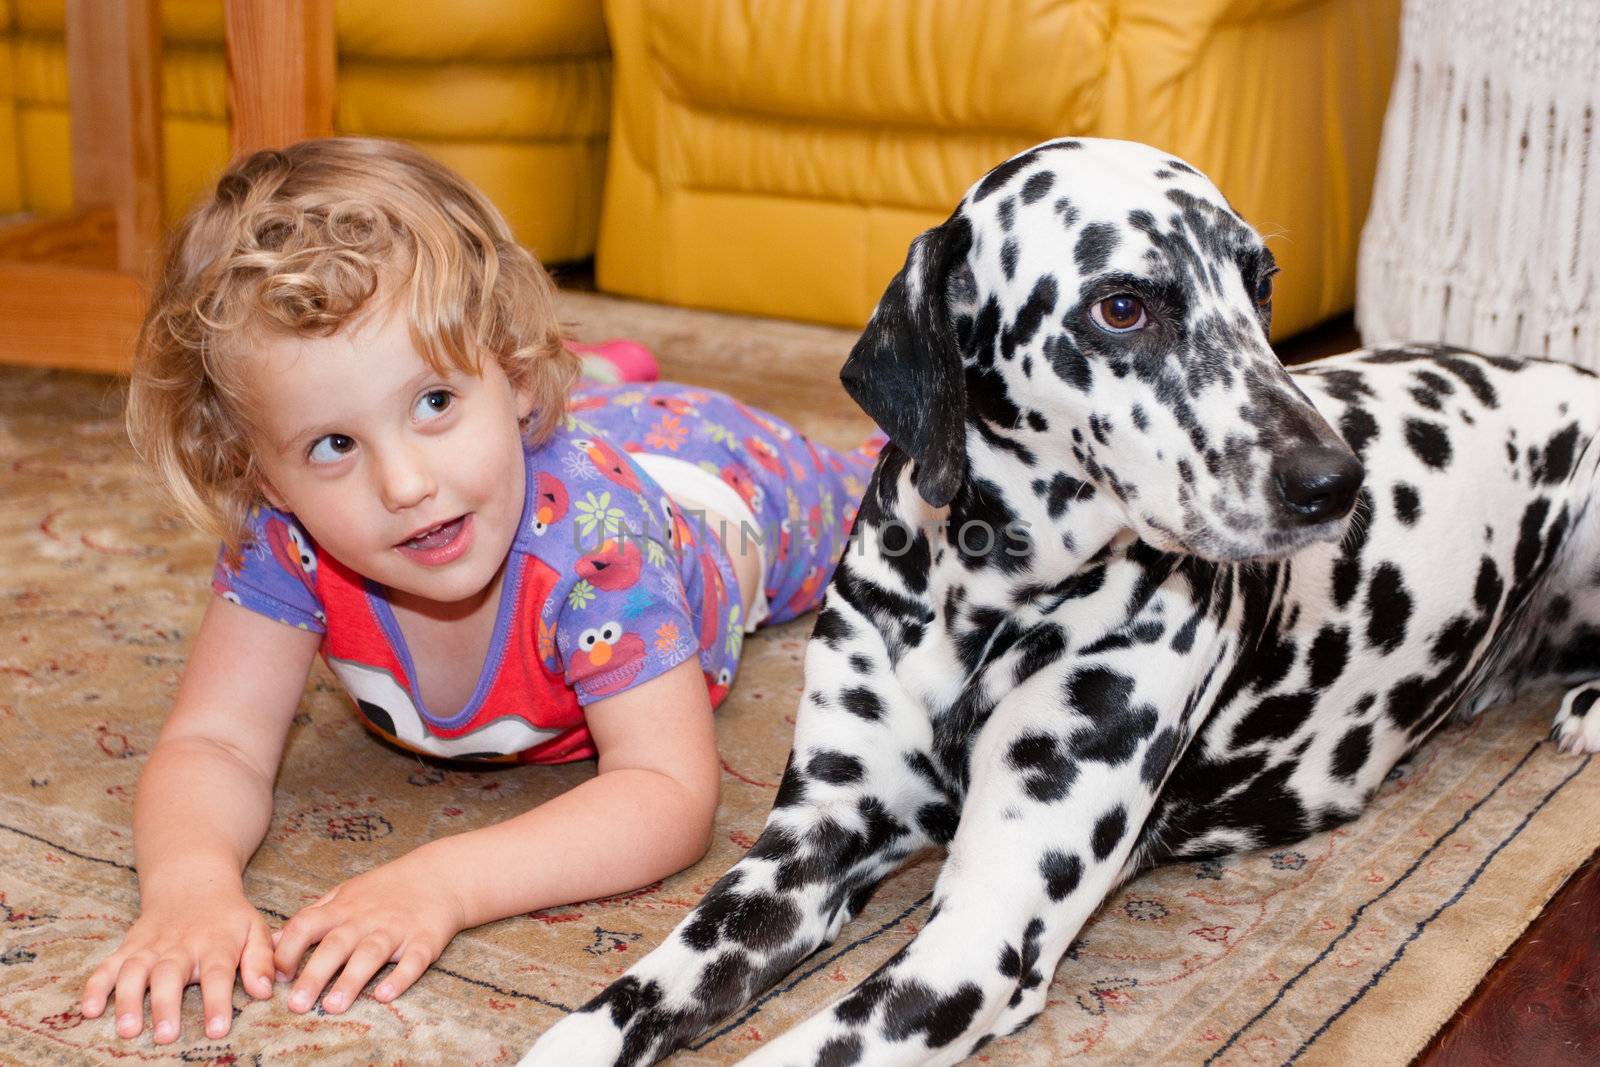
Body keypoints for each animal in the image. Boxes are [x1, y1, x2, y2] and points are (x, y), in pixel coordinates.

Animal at [524, 137, 1600, 1062]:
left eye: (1260, 284)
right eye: (1121, 306)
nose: (1333, 482)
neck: (981, 604)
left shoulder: (978, 934)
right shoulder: (806, 849)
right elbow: (628, 996)